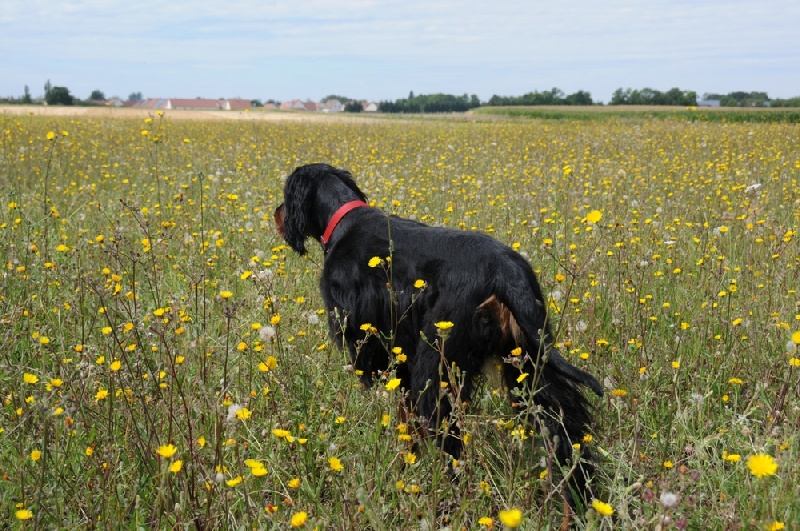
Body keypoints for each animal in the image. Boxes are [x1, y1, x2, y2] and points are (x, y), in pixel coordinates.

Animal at [276, 164, 600, 510]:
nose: (277, 214)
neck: (343, 219)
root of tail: (505, 270)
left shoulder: (370, 347)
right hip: (530, 361)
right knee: (563, 426)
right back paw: (578, 495)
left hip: (438, 365)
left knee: (450, 435)